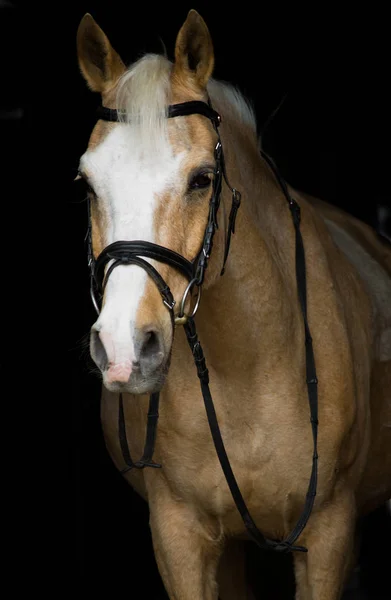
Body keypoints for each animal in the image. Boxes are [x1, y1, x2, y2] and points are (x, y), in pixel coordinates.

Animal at [76, 9, 391, 600]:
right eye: (87, 184)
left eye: (202, 179)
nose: (124, 348)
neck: (248, 365)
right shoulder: (178, 535)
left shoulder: (329, 534)